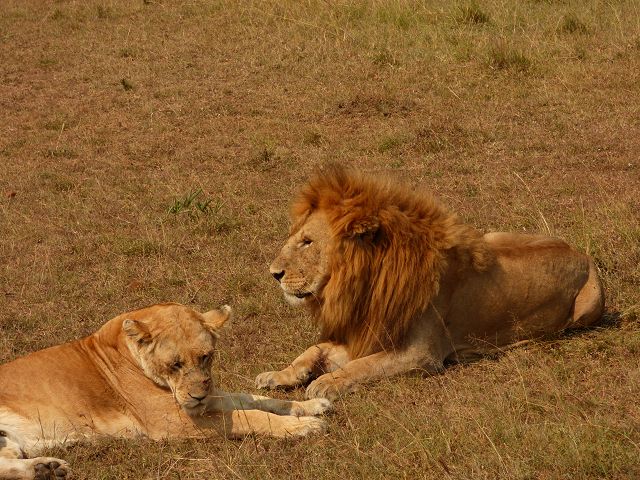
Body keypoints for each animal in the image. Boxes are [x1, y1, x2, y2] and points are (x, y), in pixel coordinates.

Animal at [0, 303, 330, 480]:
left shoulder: (210, 397)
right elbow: (249, 415)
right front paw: (304, 426)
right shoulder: (172, 422)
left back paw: (47, 467)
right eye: (175, 364)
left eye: (206, 356)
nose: (197, 396)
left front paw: (312, 405)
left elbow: (255, 399)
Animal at [256, 164, 605, 400]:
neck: (367, 285)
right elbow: (313, 350)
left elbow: (361, 367)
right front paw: (277, 374)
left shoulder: (419, 353)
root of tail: (581, 253)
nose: (274, 273)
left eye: (307, 242)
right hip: (492, 236)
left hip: (585, 309)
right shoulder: (364, 331)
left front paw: (326, 382)